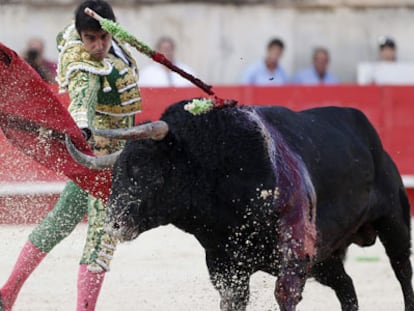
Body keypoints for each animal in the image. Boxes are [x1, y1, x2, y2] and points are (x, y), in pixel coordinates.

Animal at [76, 101, 414, 310]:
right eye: (116, 174)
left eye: (147, 172)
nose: (113, 224)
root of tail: (374, 142)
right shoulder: (226, 267)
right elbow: (232, 300)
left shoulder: (294, 255)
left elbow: (284, 294)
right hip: (324, 257)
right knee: (347, 287)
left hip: (394, 222)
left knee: (402, 271)